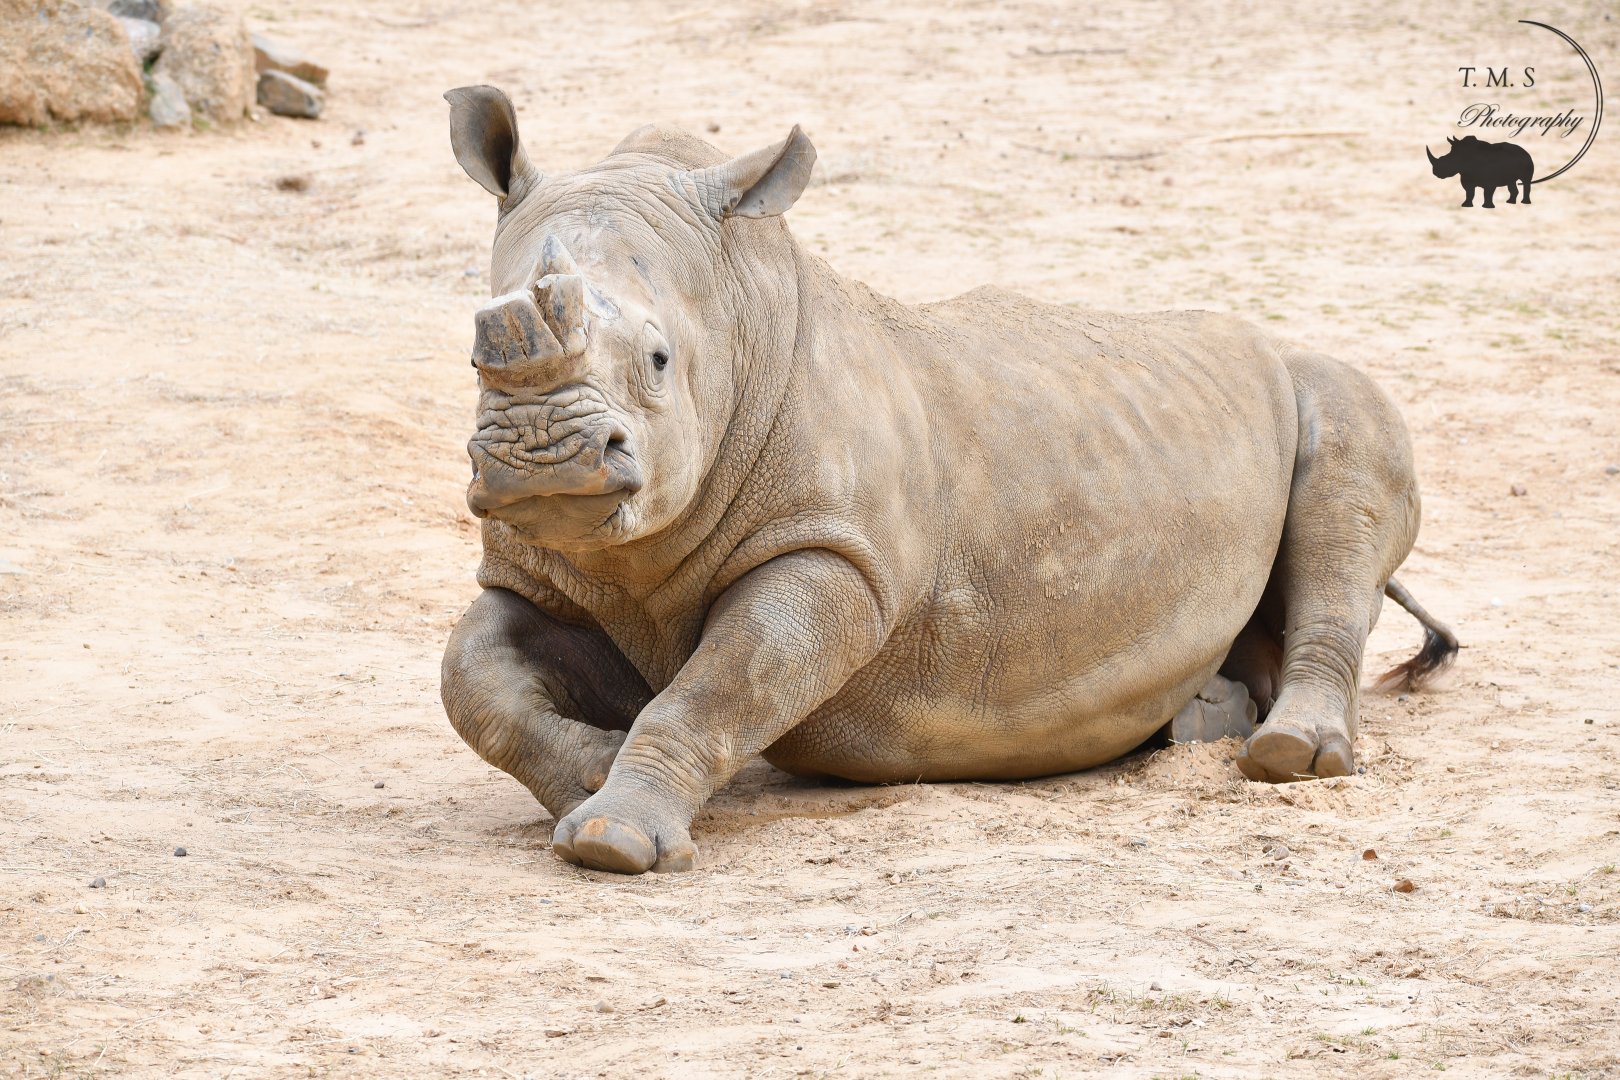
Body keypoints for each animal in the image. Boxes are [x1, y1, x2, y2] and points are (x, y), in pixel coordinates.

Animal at [439, 86, 1458, 875]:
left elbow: (719, 685)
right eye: (477, 351)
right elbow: (470, 677)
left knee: (1342, 487)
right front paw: (590, 769)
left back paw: (1287, 756)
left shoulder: (836, 558)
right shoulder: (549, 573)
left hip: (1318, 381)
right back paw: (1206, 720)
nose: (542, 458)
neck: (738, 310)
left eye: (658, 360)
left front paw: (611, 838)